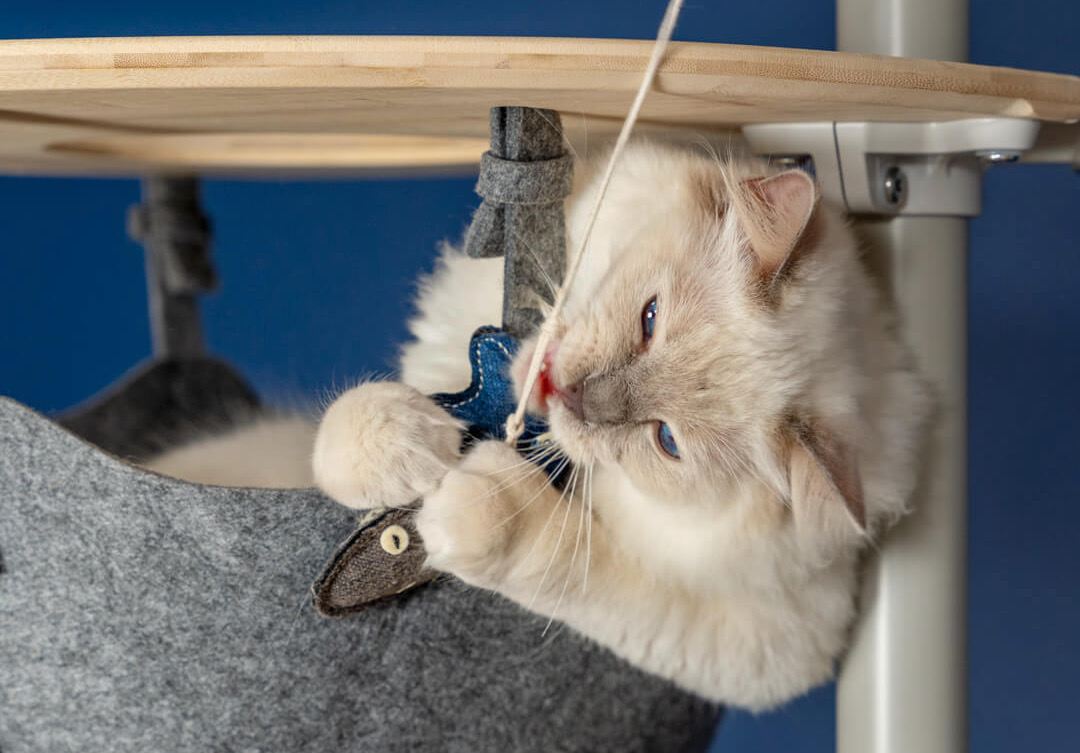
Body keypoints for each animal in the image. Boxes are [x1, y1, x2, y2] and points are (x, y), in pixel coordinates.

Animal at [308, 142, 933, 708]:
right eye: (649, 320)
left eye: (667, 440)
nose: (572, 395)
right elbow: (344, 432)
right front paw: (419, 446)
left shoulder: (773, 642)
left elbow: (563, 555)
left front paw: (467, 500)